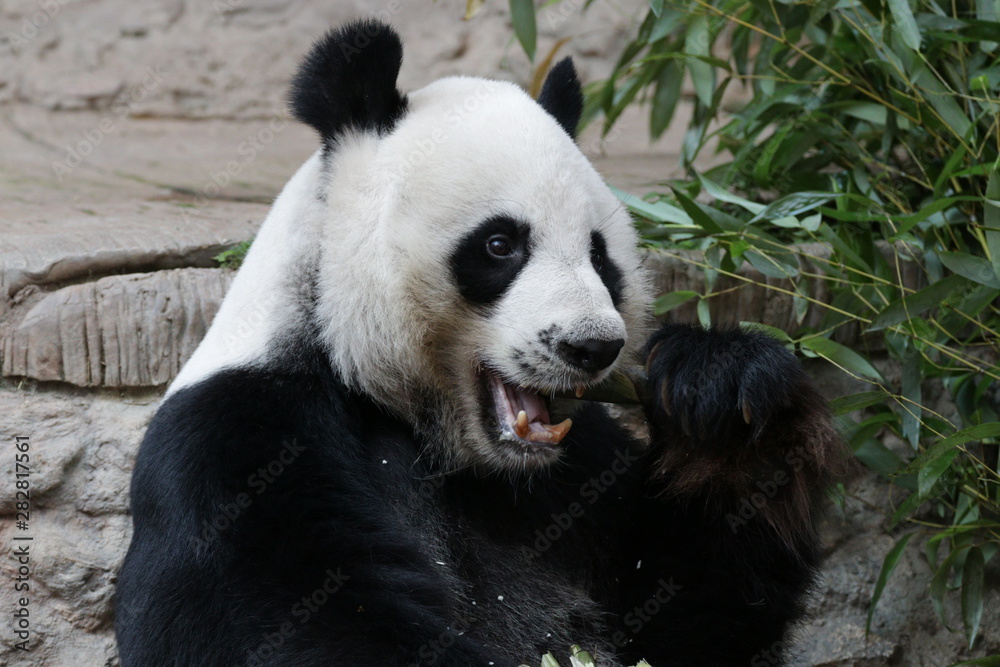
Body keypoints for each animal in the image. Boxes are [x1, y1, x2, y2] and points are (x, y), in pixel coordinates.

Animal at [115, 19, 843, 667]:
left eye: (599, 256)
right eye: (500, 245)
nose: (591, 347)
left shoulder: (579, 473)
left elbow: (689, 620)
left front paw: (721, 401)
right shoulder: (237, 444)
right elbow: (287, 625)